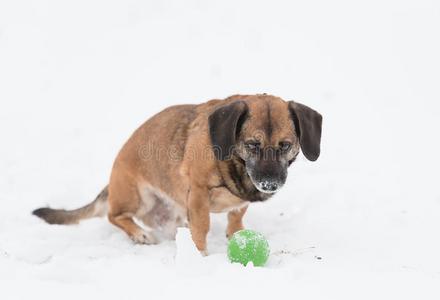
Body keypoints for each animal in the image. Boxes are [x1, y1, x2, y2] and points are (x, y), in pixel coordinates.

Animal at [32, 94, 322, 253]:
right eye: (252, 144)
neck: (236, 164)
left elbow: (237, 214)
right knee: (114, 216)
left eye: (285, 145)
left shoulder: (238, 201)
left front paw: (236, 234)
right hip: (137, 197)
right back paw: (140, 234)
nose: (269, 184)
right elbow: (202, 228)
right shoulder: (198, 192)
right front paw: (200, 257)